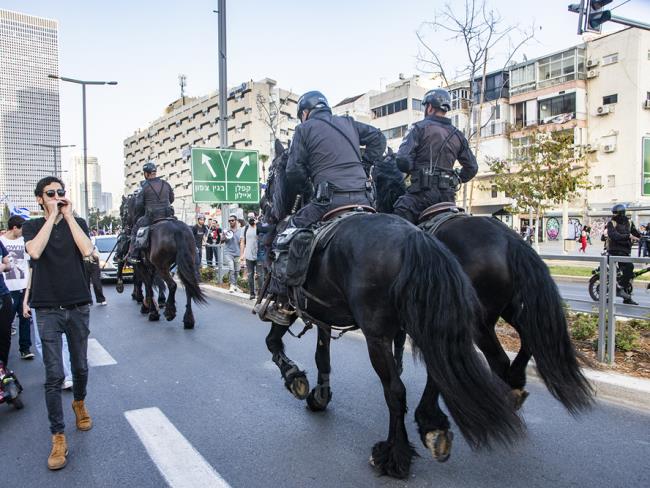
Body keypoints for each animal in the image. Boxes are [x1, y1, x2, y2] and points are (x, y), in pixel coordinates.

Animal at [119, 193, 204, 326]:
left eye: (123, 210)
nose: (124, 228)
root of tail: (177, 230)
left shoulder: (141, 267)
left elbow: (146, 284)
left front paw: (150, 309)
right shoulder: (151, 268)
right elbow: (152, 284)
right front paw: (151, 304)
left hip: (162, 266)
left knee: (172, 285)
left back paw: (170, 312)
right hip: (185, 265)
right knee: (188, 286)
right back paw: (188, 319)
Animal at [256, 140, 520, 476]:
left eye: (273, 173)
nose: (265, 213)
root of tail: (415, 238)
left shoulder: (296, 304)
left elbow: (273, 340)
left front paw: (295, 379)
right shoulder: (324, 313)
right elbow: (321, 355)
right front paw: (320, 394)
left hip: (381, 336)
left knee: (396, 391)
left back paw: (394, 454)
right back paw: (437, 426)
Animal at [370, 150, 592, 416]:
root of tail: (510, 239)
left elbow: (404, 341)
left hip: (480, 322)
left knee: (497, 360)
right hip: (511, 308)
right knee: (529, 339)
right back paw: (515, 382)